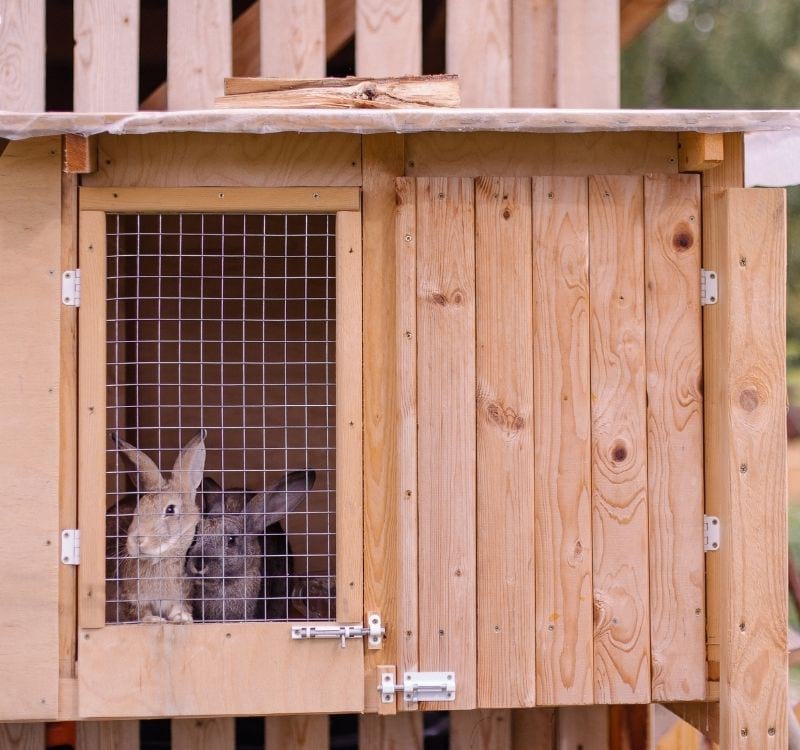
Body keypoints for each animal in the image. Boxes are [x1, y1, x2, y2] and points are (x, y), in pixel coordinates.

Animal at [113, 430, 207, 623]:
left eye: (170, 509)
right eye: (137, 508)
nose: (137, 540)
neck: (161, 561)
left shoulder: (181, 597)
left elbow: (178, 608)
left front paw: (182, 618)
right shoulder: (132, 599)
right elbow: (140, 612)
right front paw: (153, 620)